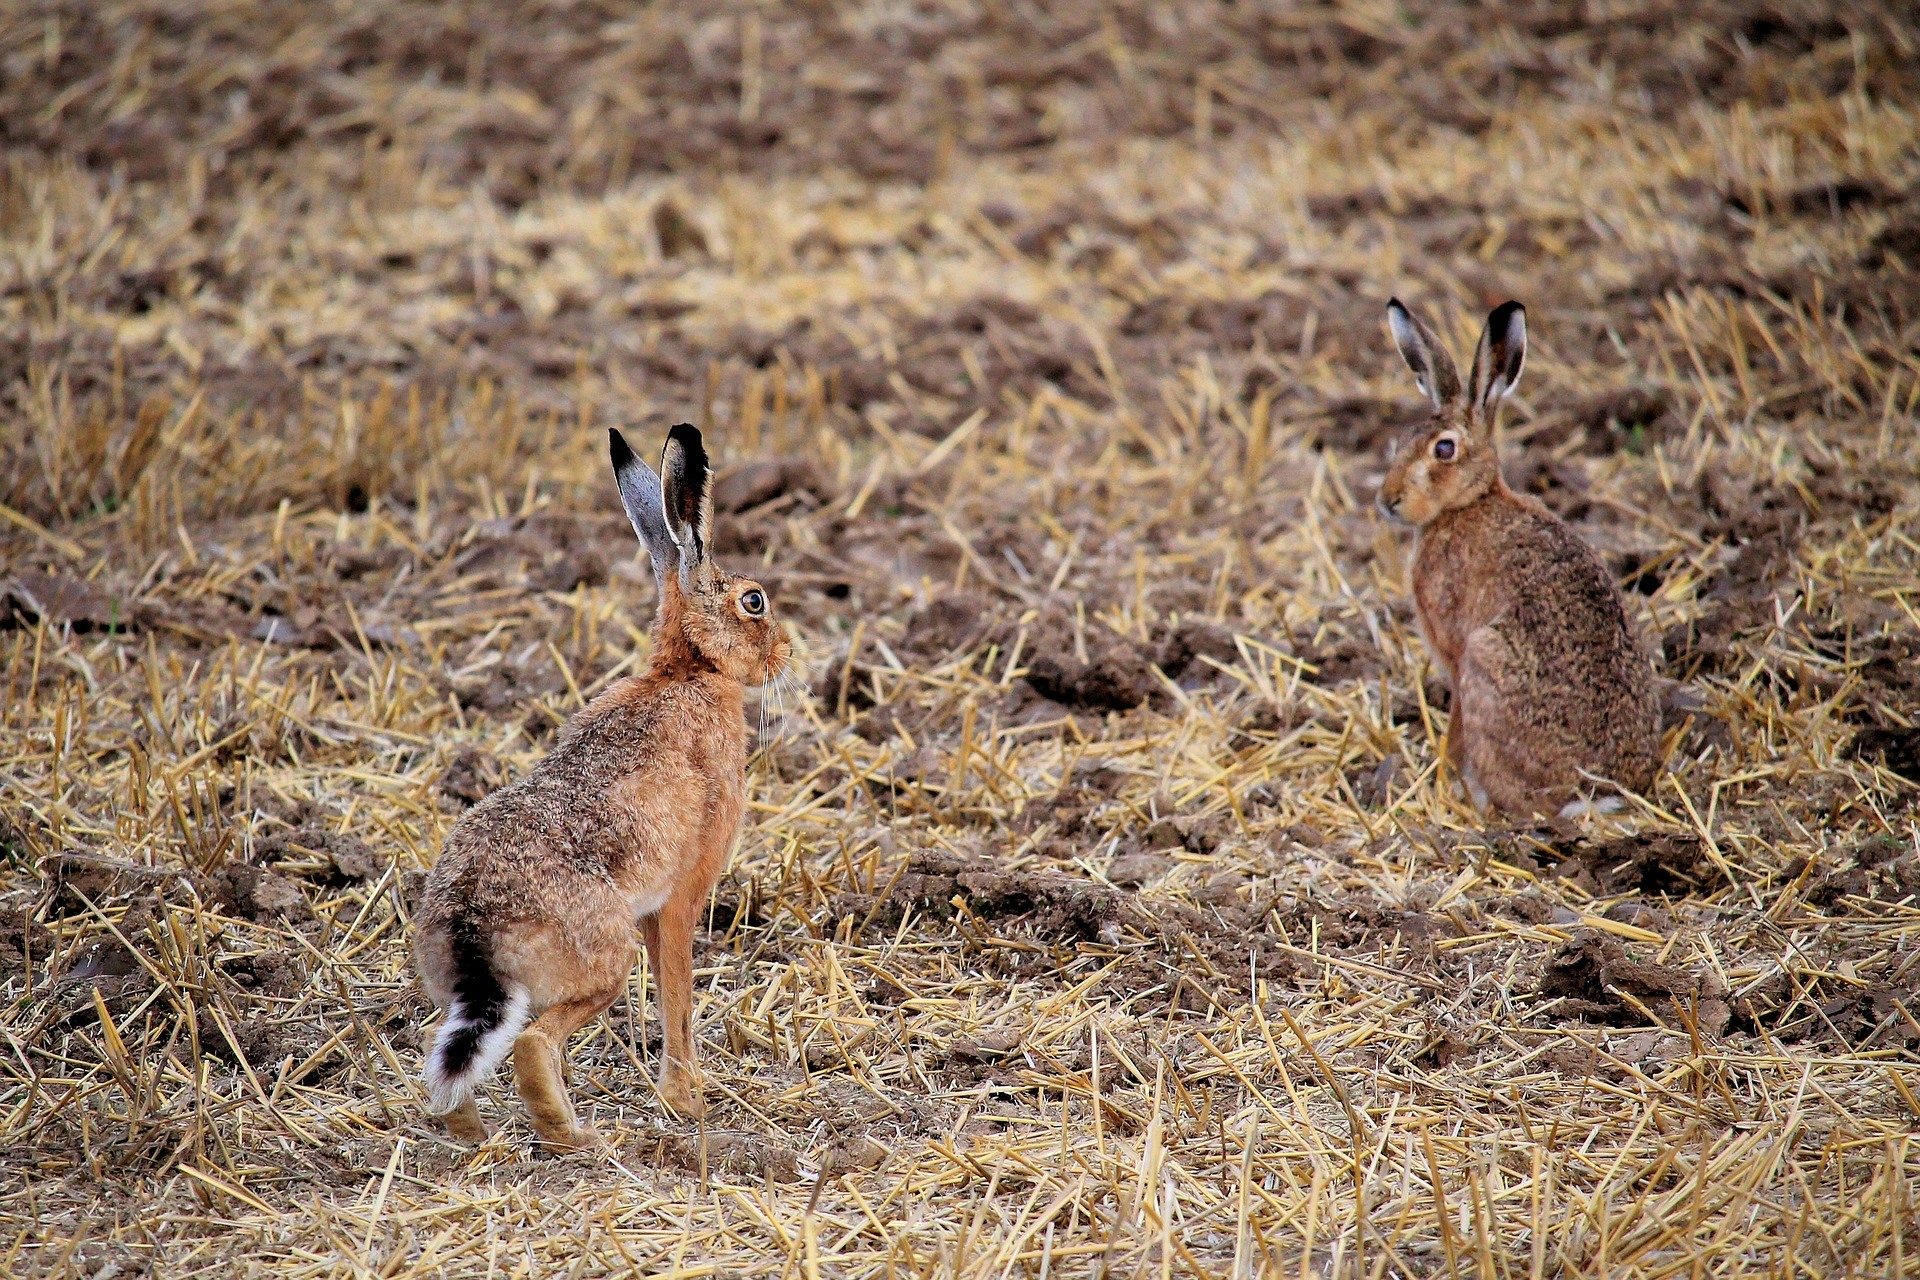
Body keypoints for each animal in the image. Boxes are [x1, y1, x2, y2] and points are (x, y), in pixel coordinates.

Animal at [413, 423, 790, 1148]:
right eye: (753, 601)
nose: (784, 654)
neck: (690, 669)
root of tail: (475, 926)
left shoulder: (652, 909)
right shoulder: (682, 894)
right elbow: (678, 997)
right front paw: (687, 1102)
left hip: (462, 992)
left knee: (449, 1061)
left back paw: (478, 1138)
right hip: (604, 962)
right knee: (534, 1044)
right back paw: (580, 1139)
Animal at [1377, 298, 1658, 818]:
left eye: (1443, 449)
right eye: (1403, 440)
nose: (1388, 501)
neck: (1469, 501)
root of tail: (1595, 794)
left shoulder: (1455, 652)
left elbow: (1456, 727)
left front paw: (1443, 776)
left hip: (1485, 657)